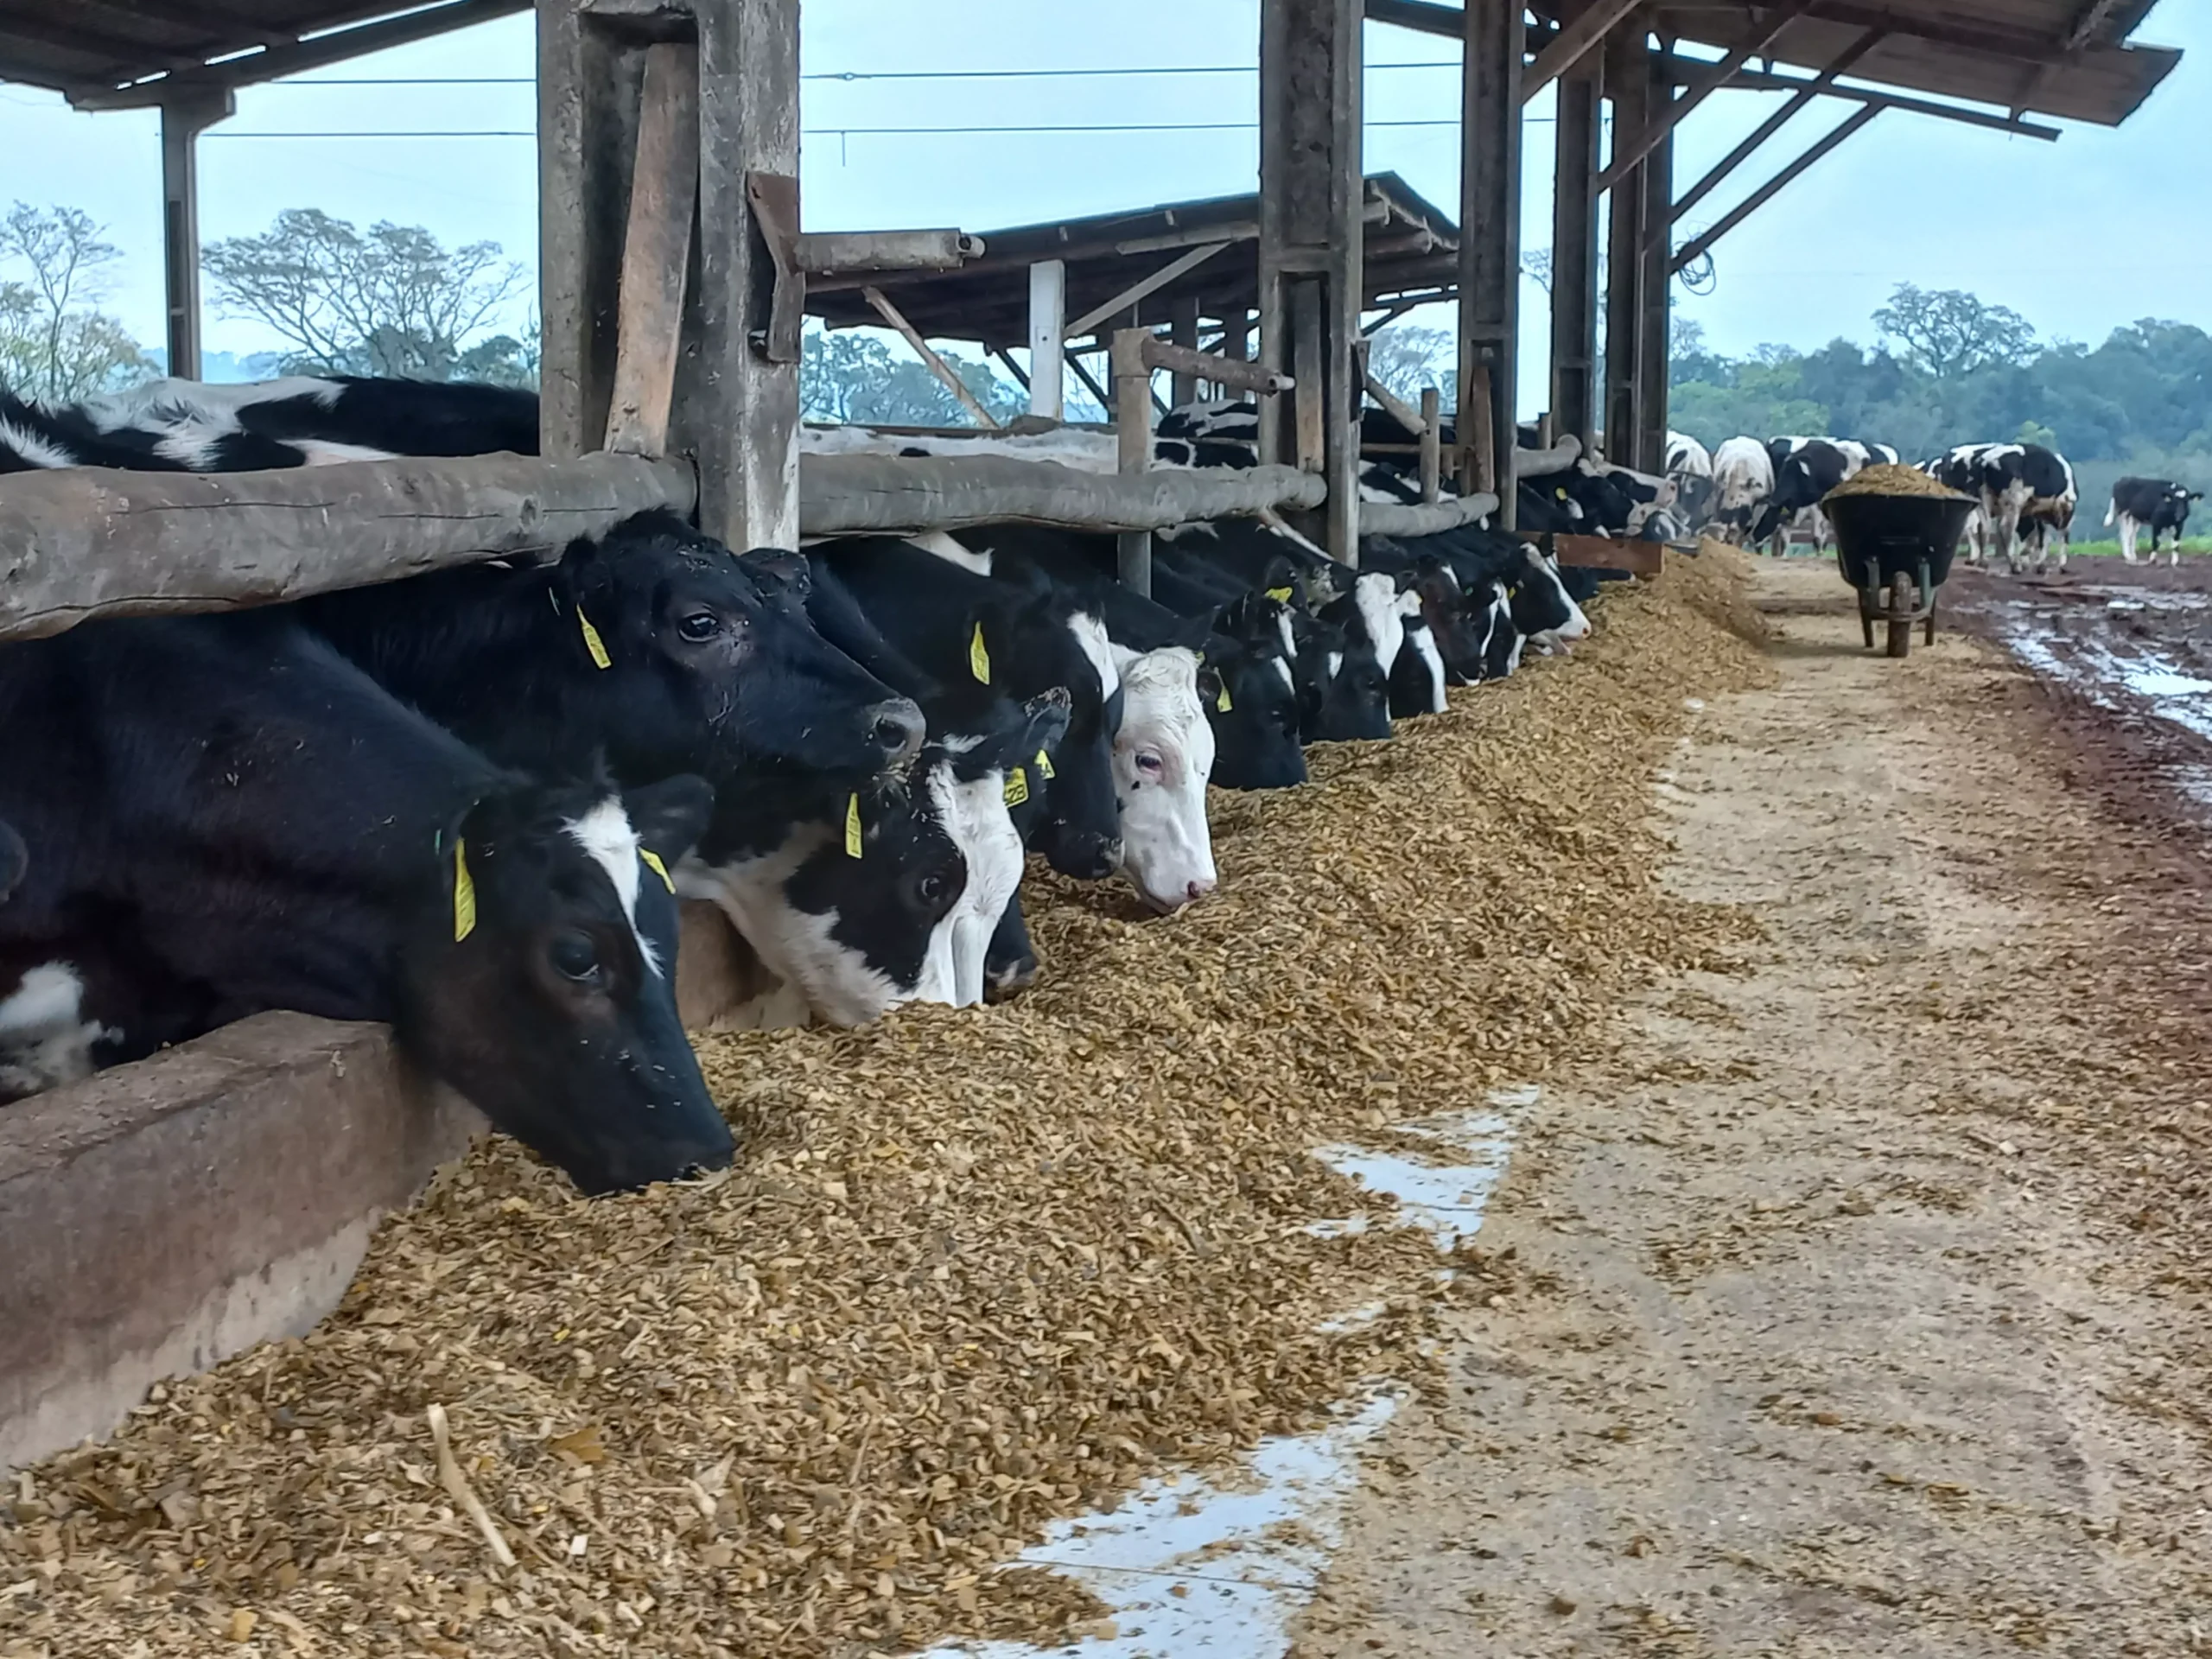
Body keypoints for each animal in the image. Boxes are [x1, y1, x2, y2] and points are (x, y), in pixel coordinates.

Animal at [1928, 442, 2078, 573]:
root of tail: (1986, 460)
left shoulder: (2037, 513)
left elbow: (2042, 537)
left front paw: (2037, 563)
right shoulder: (2067, 505)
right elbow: (2060, 535)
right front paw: (2060, 564)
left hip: (1983, 498)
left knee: (1983, 526)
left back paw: (1983, 561)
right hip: (2012, 501)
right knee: (2004, 528)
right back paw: (2014, 565)